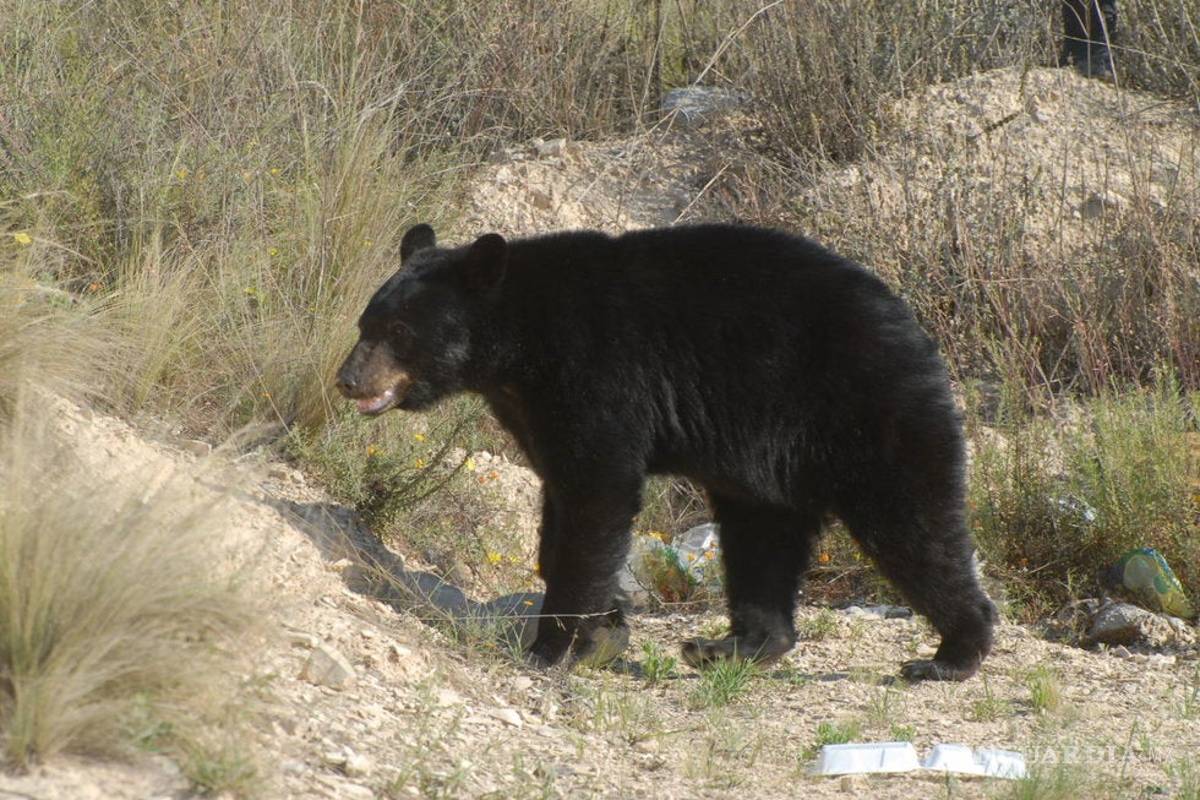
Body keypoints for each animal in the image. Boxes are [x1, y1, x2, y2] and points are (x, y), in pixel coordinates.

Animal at [336, 222, 996, 681]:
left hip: (867, 413)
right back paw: (730, 646)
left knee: (915, 527)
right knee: (762, 541)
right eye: (365, 324)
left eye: (399, 332)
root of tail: (916, 328)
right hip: (769, 465)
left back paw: (951, 654)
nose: (348, 379)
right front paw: (604, 629)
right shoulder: (533, 410)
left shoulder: (598, 373)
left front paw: (554, 646)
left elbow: (597, 496)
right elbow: (560, 502)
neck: (518, 346)